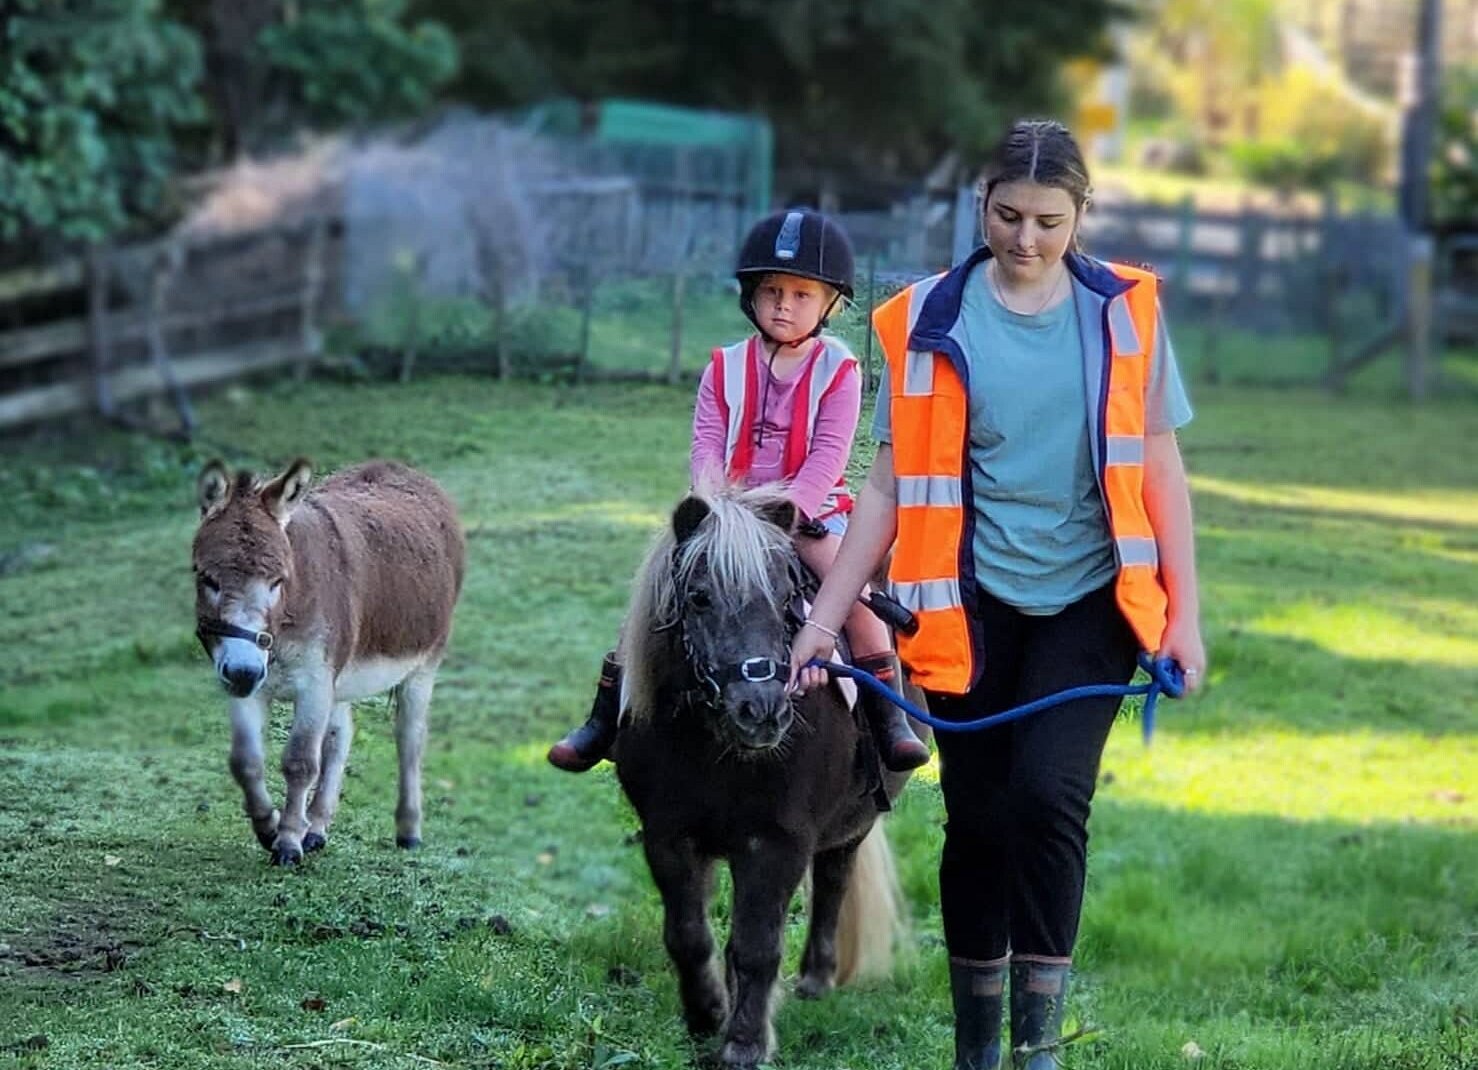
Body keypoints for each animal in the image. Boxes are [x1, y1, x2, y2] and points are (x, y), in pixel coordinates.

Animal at [191, 458, 464, 866]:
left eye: (277, 581)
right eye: (207, 578)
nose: (243, 674)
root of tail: (400, 468)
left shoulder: (315, 682)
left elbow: (300, 762)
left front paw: (287, 844)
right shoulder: (257, 683)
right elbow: (245, 761)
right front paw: (269, 828)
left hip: (423, 664)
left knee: (410, 739)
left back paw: (408, 831)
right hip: (341, 676)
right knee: (341, 736)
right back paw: (316, 828)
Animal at [612, 484, 926, 1068]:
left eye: (786, 597)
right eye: (699, 597)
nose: (761, 710)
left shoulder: (777, 842)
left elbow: (758, 946)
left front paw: (744, 1042)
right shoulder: (668, 836)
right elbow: (688, 934)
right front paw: (706, 1013)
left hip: (850, 829)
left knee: (833, 883)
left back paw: (817, 978)